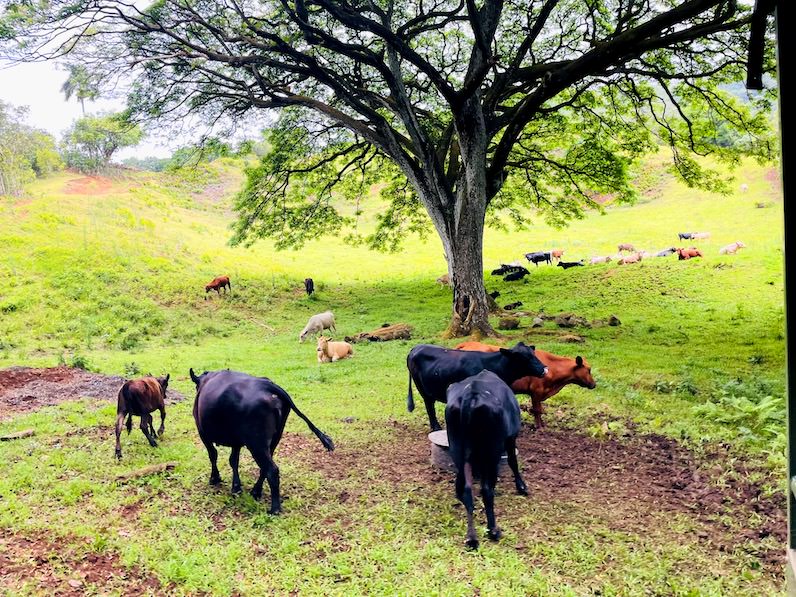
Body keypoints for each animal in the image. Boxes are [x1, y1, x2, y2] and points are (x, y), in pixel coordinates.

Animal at [190, 368, 332, 512]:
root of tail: (267, 385)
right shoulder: (236, 441)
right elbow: (233, 460)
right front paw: (236, 487)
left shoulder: (202, 433)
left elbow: (213, 455)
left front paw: (215, 478)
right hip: (274, 439)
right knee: (265, 468)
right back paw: (256, 491)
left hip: (257, 444)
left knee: (272, 470)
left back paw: (274, 509)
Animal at [448, 370, 528, 548]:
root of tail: (471, 394)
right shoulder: (511, 437)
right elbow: (513, 461)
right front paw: (522, 487)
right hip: (492, 450)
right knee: (486, 489)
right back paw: (493, 530)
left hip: (457, 448)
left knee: (466, 489)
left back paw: (471, 537)